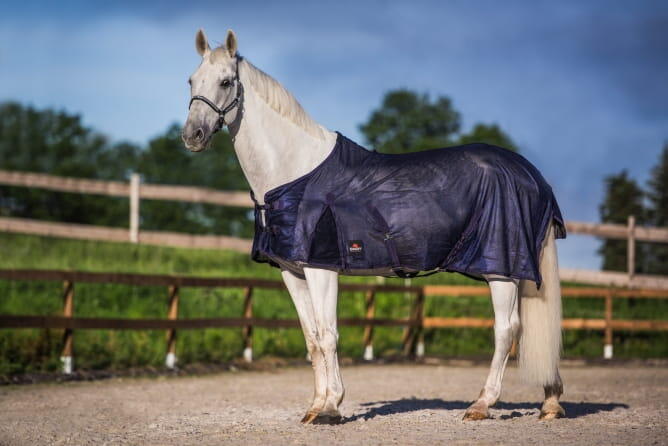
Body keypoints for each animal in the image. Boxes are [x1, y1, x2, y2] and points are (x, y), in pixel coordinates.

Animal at [182, 28, 566, 424]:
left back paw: (482, 404)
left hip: (500, 270)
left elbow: (328, 335)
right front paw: (314, 407)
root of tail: (528, 173)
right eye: (192, 81)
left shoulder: (321, 268)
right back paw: (550, 402)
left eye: (226, 82)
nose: (193, 135)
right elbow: (311, 338)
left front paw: (331, 407)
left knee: (506, 330)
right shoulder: (292, 271)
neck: (293, 172)